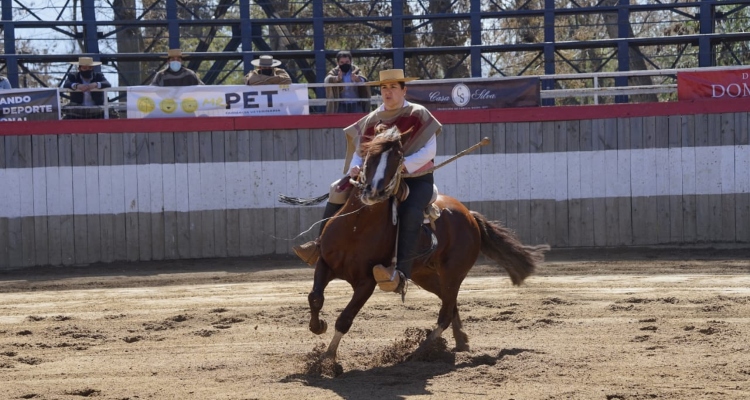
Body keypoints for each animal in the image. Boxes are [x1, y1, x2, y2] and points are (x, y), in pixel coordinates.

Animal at [306, 126, 552, 360]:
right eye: (369, 153)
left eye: (398, 157)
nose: (374, 191)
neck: (356, 226)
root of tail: (470, 215)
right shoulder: (325, 264)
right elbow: (315, 297)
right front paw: (318, 326)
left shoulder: (367, 282)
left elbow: (345, 318)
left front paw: (327, 358)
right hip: (424, 274)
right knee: (449, 301)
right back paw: (460, 341)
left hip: (454, 272)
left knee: (445, 312)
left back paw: (419, 351)